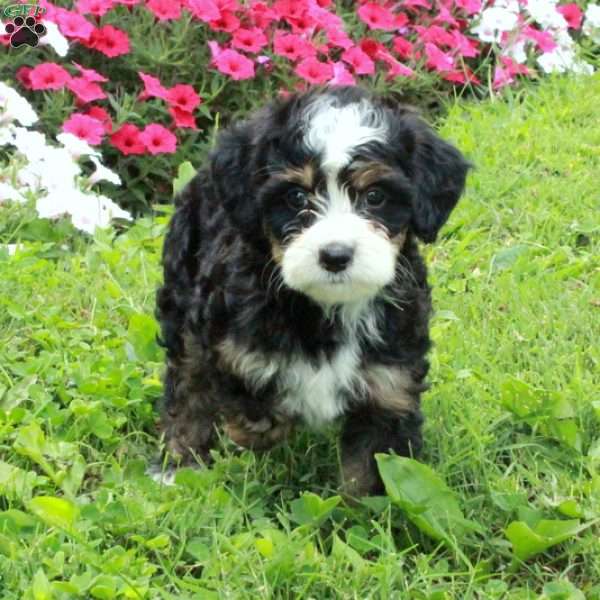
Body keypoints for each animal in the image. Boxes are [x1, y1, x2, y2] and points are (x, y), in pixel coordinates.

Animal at [154, 85, 468, 496]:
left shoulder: (389, 385)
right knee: (188, 382)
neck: (326, 308)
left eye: (375, 197)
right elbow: (257, 411)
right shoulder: (232, 349)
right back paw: (178, 463)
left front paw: (362, 511)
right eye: (296, 197)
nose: (335, 255)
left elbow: (372, 472)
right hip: (182, 294)